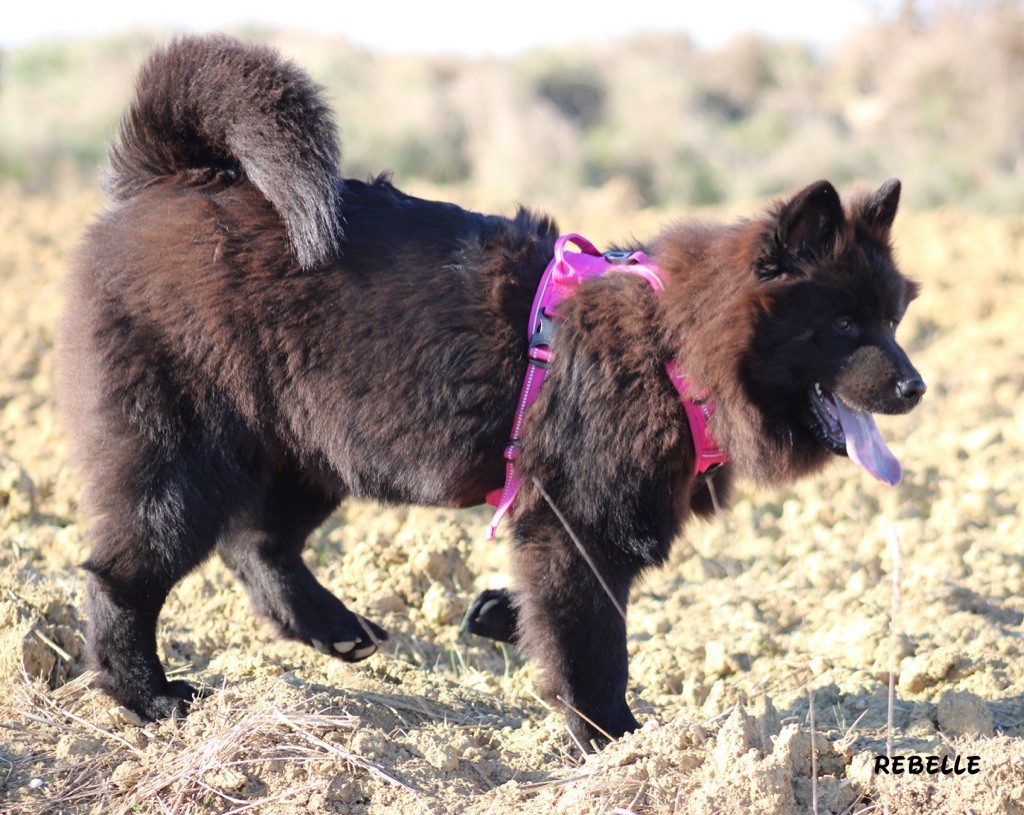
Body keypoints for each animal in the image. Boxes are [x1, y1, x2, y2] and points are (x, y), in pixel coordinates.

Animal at [59, 38, 925, 749]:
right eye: (845, 325)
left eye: (894, 317)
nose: (917, 386)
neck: (672, 349)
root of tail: (169, 180)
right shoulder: (580, 523)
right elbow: (593, 641)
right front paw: (613, 740)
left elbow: (556, 610)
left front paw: (498, 616)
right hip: (186, 454)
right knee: (125, 574)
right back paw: (149, 695)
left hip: (316, 444)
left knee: (256, 544)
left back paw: (335, 629)